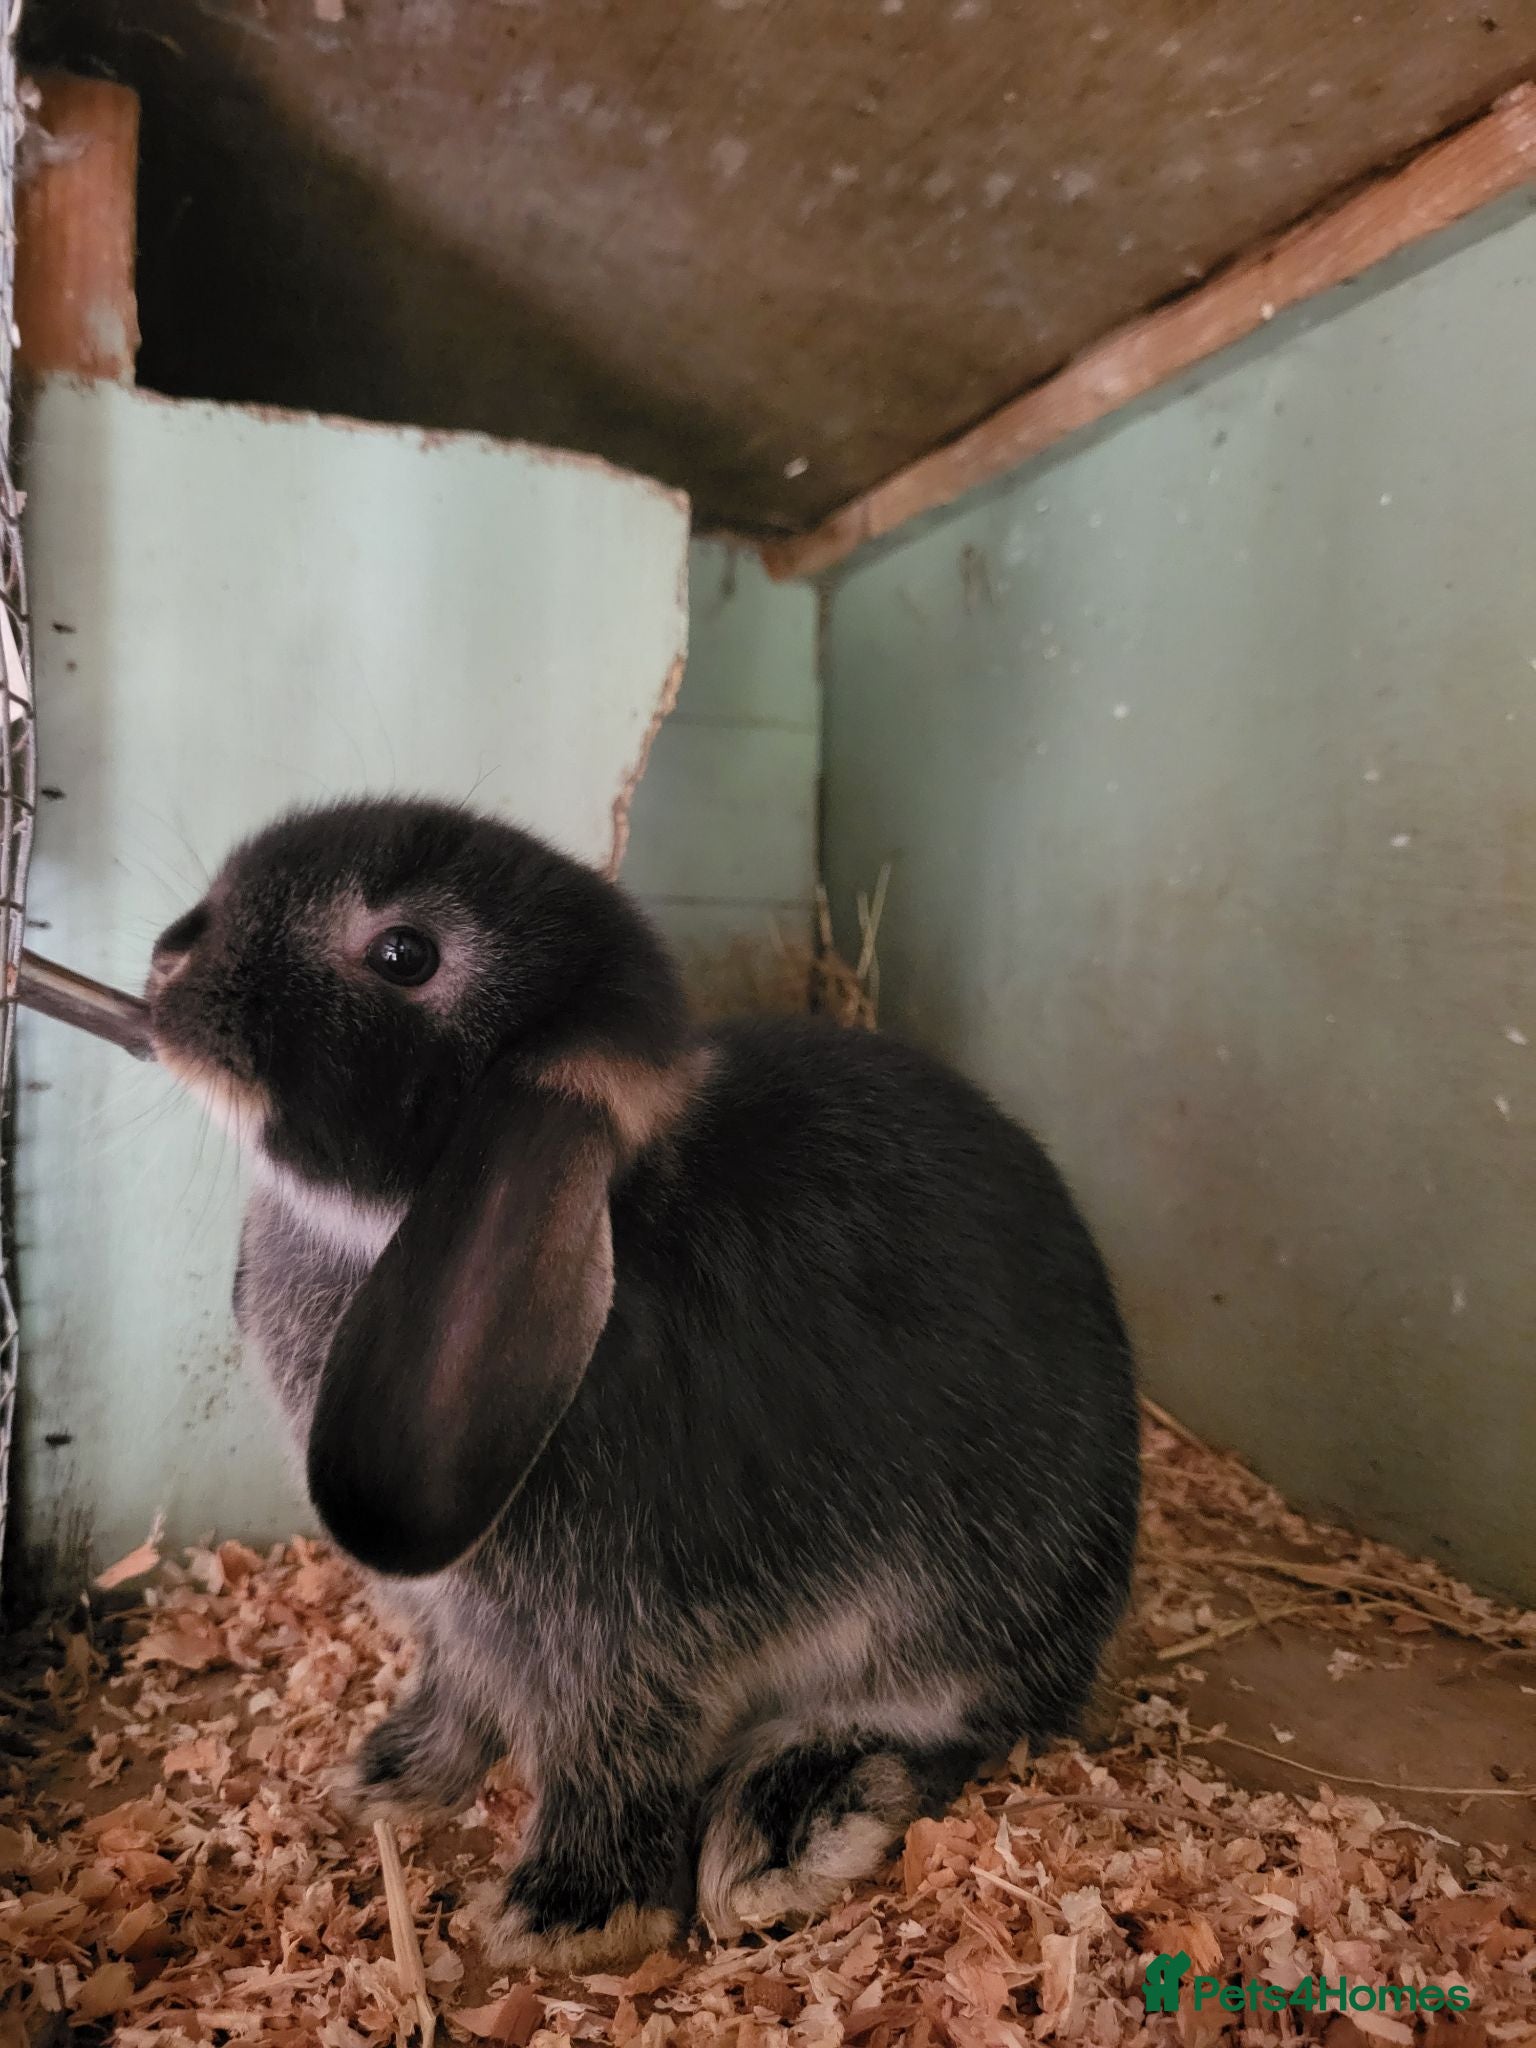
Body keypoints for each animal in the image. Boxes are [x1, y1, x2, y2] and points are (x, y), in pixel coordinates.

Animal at [146, 796, 1141, 1971]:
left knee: (949, 1725)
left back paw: (783, 1827)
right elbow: (460, 1694)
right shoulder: (461, 1624)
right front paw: (390, 1777)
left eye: (404, 955)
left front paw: (565, 1915)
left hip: (952, 1612)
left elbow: (611, 1752)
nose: (168, 957)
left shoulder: (622, 1633)